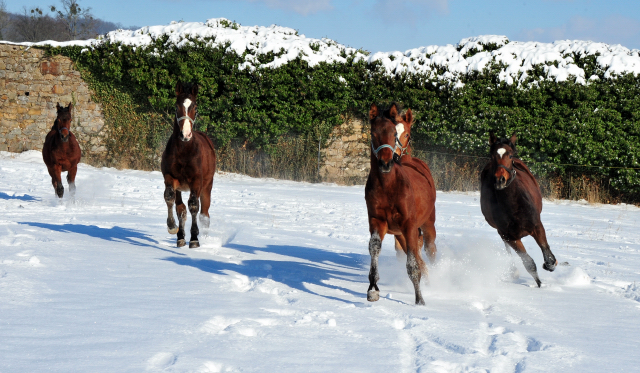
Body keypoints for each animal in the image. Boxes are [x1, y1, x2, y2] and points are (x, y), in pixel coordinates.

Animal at [161, 81, 216, 247]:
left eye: (195, 108)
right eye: (176, 107)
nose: (185, 135)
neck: (184, 151)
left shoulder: (196, 181)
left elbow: (193, 206)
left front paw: (194, 239)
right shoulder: (170, 177)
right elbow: (170, 198)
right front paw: (173, 228)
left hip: (207, 186)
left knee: (204, 214)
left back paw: (204, 237)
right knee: (181, 209)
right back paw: (180, 237)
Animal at [362, 103, 438, 304]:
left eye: (394, 134)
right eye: (373, 133)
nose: (386, 163)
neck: (388, 186)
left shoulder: (409, 225)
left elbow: (412, 265)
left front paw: (420, 301)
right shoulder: (377, 221)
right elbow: (374, 247)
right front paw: (373, 290)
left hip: (427, 224)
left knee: (429, 250)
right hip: (400, 234)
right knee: (419, 257)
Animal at [478, 132, 556, 286]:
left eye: (510, 155)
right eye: (492, 156)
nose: (500, 180)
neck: (514, 206)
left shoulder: (537, 226)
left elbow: (546, 253)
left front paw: (550, 264)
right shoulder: (510, 236)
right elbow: (528, 263)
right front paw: (539, 284)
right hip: (502, 234)